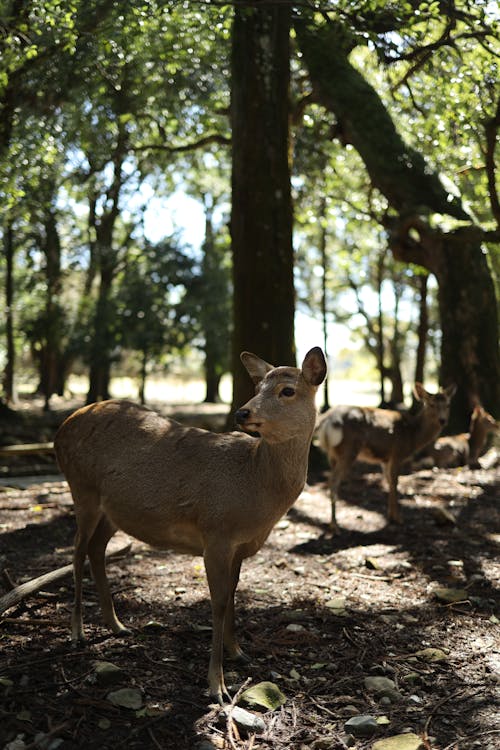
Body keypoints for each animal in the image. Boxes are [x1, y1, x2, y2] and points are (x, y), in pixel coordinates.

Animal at [53, 346, 328, 704]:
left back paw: (117, 625)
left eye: (288, 390)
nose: (242, 412)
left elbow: (233, 595)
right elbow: (218, 602)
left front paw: (239, 652)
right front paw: (217, 686)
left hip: (112, 509)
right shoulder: (216, 533)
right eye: (258, 387)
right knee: (76, 551)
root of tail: (62, 428)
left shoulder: (240, 545)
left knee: (96, 548)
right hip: (80, 487)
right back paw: (78, 633)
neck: (255, 491)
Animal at [318, 382, 456, 536]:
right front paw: (397, 518)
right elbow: (395, 482)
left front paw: (391, 515)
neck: (412, 436)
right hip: (349, 449)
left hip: (331, 453)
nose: (442, 420)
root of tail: (328, 421)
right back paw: (335, 527)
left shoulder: (385, 459)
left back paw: (332, 524)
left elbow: (389, 482)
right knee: (334, 481)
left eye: (448, 405)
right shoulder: (397, 454)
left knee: (330, 478)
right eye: (431, 404)